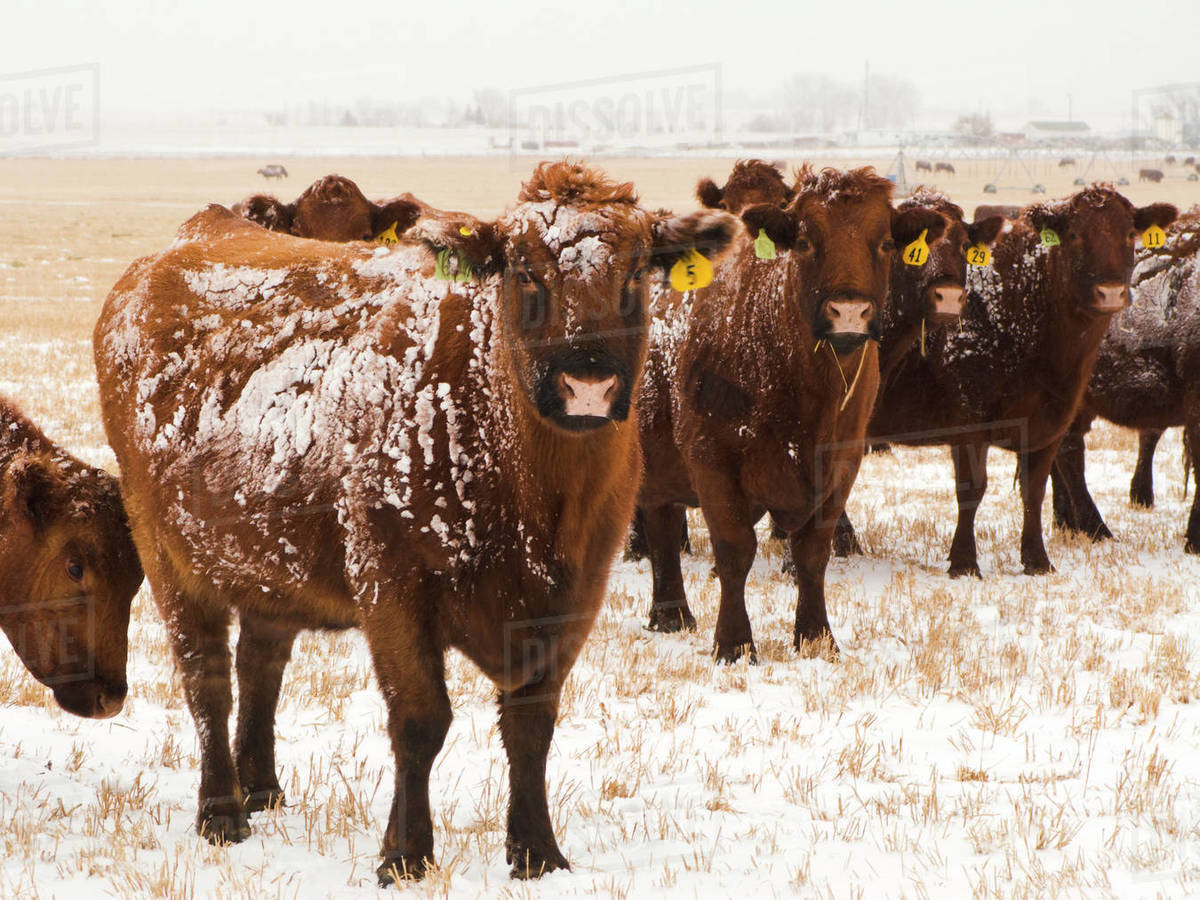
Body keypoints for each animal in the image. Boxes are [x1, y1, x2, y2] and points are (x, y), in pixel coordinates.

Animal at [635, 165, 944, 661]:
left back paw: (672, 615)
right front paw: (734, 643)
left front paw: (817, 636)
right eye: (804, 240)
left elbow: (812, 554)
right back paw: (672, 616)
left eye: (885, 243)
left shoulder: (842, 463)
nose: (849, 313)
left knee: (662, 523)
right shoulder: (711, 459)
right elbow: (735, 550)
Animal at [855, 186, 1176, 576]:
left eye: (1130, 234)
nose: (1111, 292)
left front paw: (1037, 560)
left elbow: (1033, 490)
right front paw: (964, 562)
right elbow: (972, 489)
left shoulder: (1051, 423)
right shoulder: (969, 420)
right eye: (1074, 235)